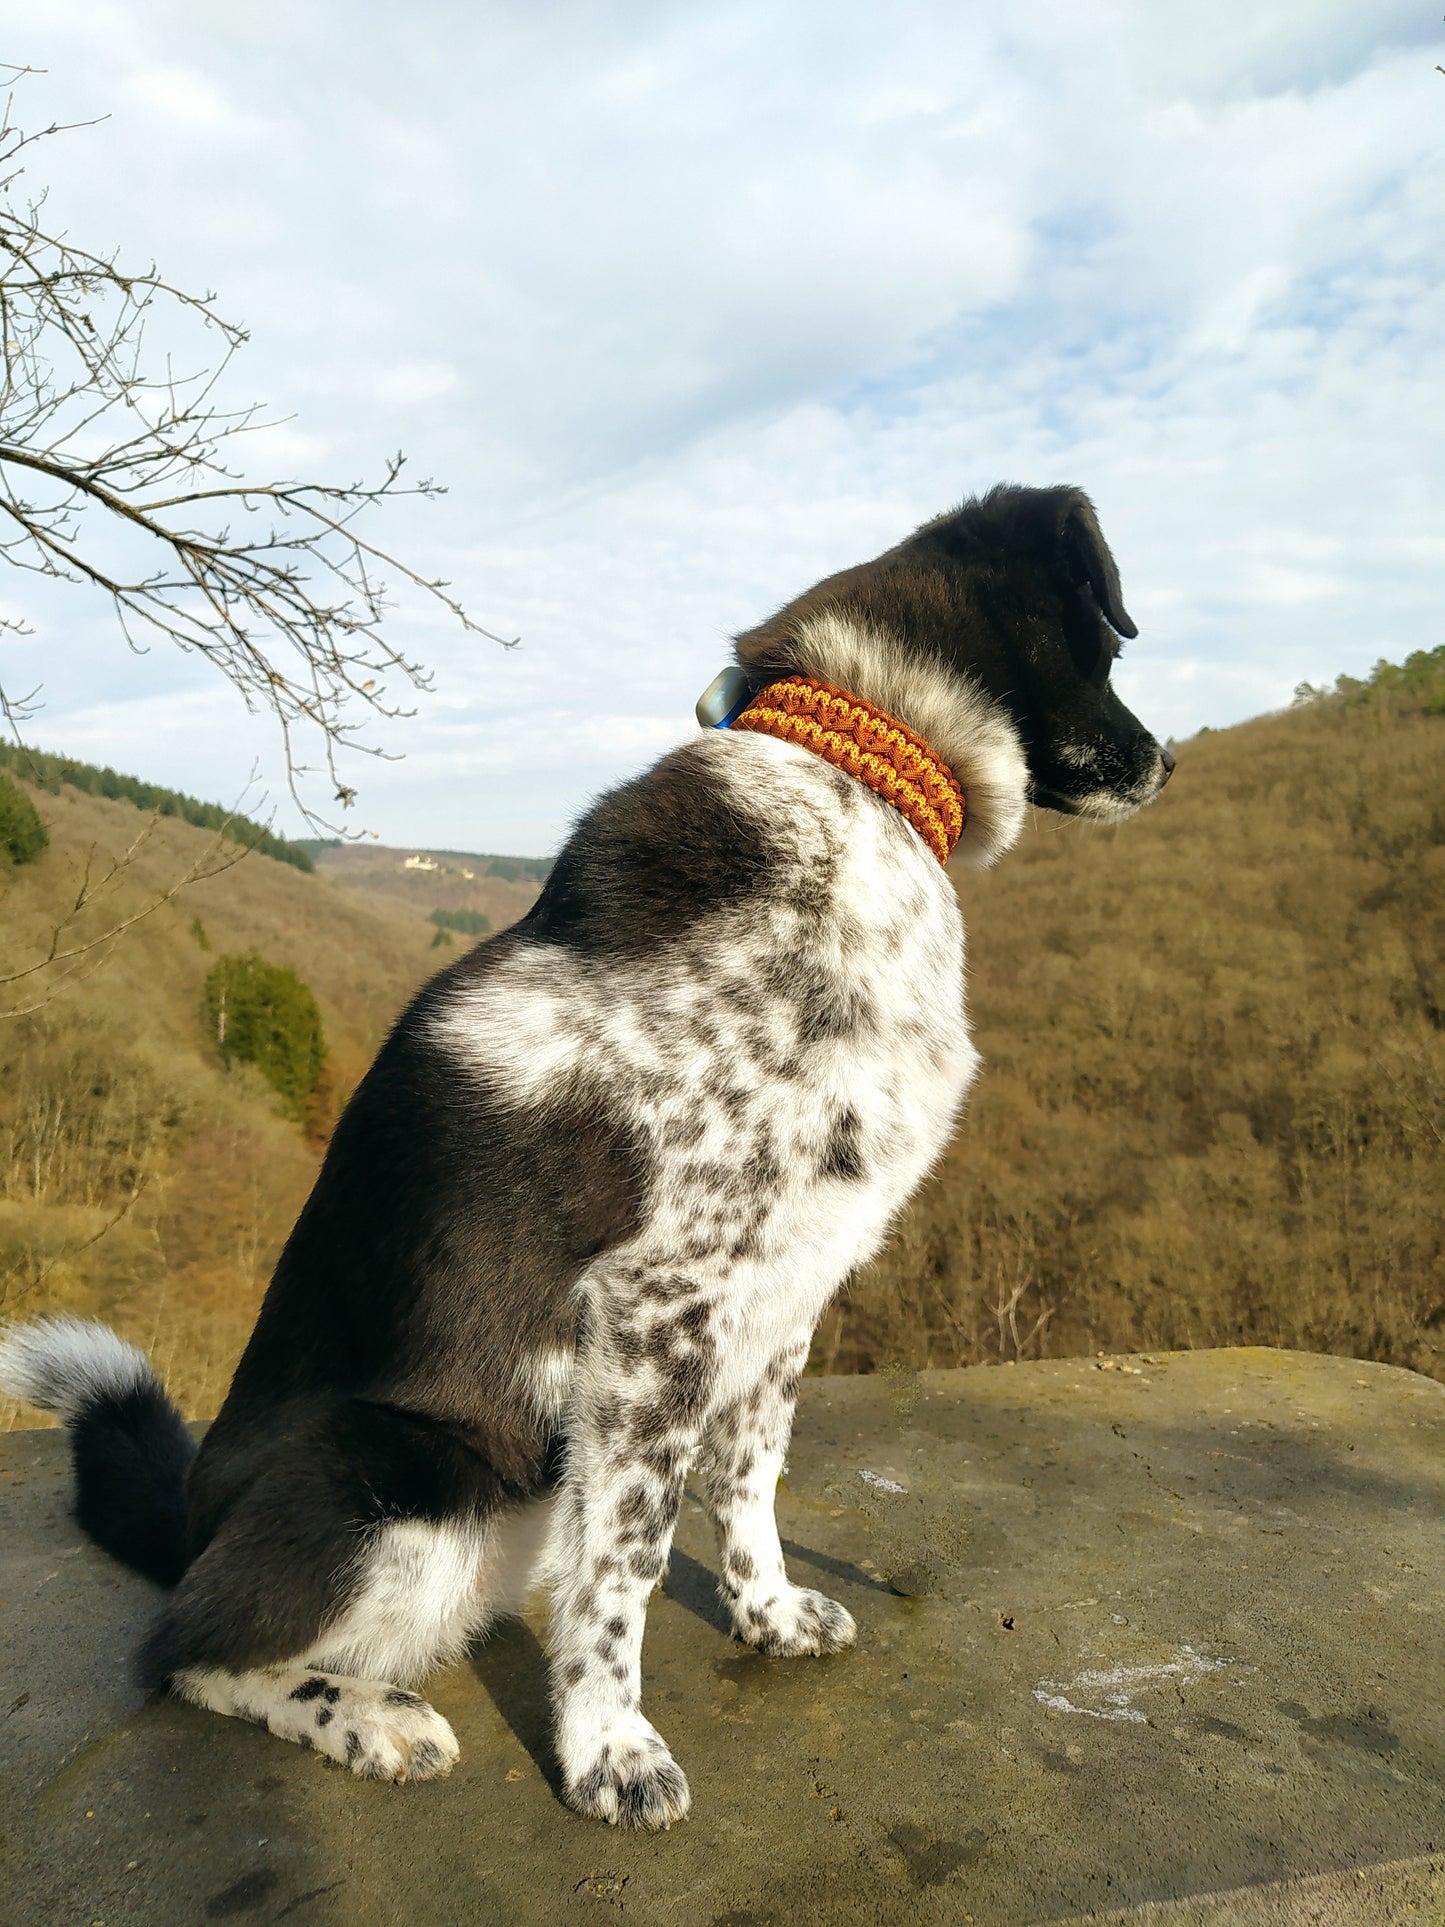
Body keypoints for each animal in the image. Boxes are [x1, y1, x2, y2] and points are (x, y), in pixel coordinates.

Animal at [0, 477, 1179, 1819]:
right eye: (1104, 641)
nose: (1167, 758)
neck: (858, 771)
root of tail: (193, 1520)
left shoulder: (786, 1287)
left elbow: (746, 1480)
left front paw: (766, 1614)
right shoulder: (659, 1301)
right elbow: (627, 1559)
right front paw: (609, 1748)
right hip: (404, 1479)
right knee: (190, 1651)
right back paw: (365, 1717)